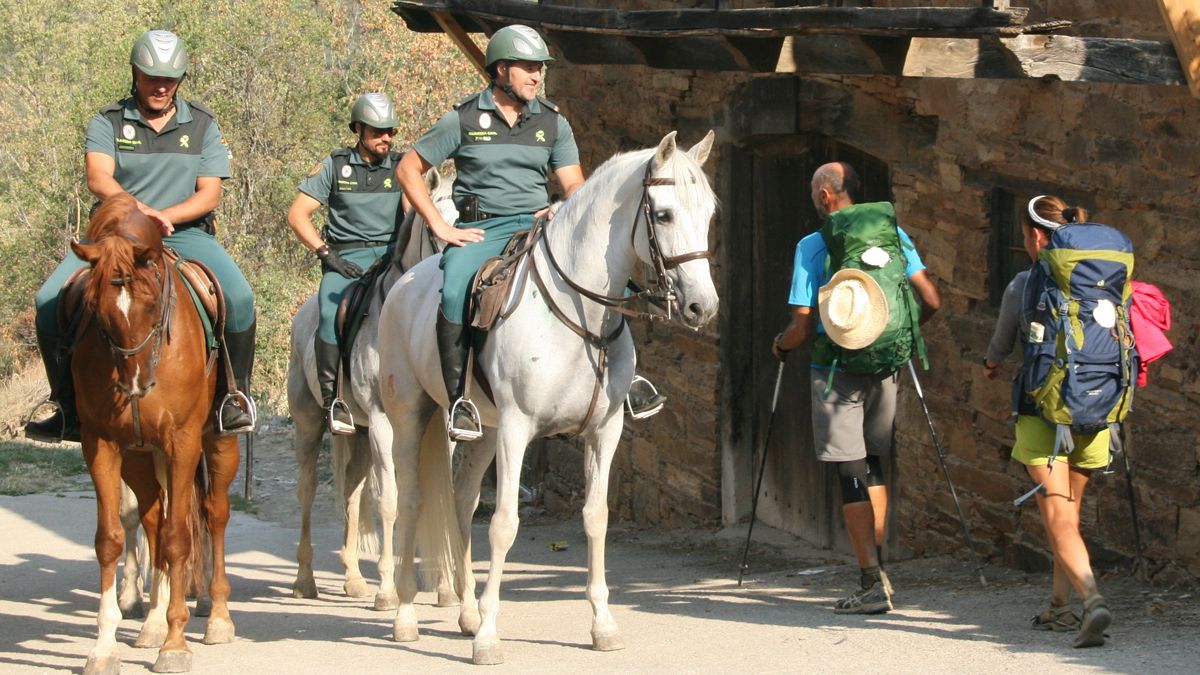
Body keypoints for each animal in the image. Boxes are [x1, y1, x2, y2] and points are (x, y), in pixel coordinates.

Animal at [70, 192, 241, 667]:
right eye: (97, 310)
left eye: (150, 304)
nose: (135, 387)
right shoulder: (101, 444)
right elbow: (111, 539)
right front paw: (104, 648)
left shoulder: (182, 442)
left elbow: (179, 537)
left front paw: (175, 644)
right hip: (141, 456)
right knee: (152, 519)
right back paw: (150, 624)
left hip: (215, 443)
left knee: (213, 514)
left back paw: (217, 618)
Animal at [288, 166, 456, 605]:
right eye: (438, 225)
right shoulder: (383, 423)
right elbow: (390, 501)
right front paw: (389, 589)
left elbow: (440, 496)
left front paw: (447, 589)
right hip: (311, 424)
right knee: (307, 490)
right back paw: (305, 579)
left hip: (359, 434)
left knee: (351, 491)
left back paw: (352, 578)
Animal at [379, 130, 715, 662]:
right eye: (663, 215)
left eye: (709, 213)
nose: (704, 307)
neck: (581, 317)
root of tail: (406, 282)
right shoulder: (518, 430)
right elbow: (504, 525)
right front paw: (490, 638)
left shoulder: (605, 431)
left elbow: (596, 519)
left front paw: (602, 625)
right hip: (411, 416)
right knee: (412, 500)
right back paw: (408, 617)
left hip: (481, 433)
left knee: (460, 501)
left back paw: (467, 613)